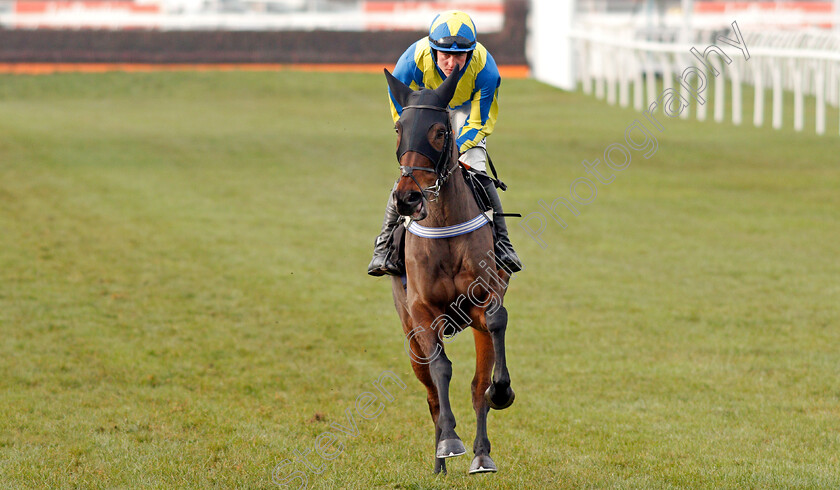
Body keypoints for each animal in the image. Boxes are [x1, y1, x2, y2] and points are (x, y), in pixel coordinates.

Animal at [384, 68, 516, 474]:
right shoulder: (422, 312)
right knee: (430, 392)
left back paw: (482, 454)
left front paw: (502, 392)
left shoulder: (485, 295)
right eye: (399, 129)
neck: (443, 225)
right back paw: (440, 458)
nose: (407, 198)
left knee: (476, 387)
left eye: (440, 132)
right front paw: (449, 441)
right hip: (410, 337)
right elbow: (441, 369)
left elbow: (497, 323)